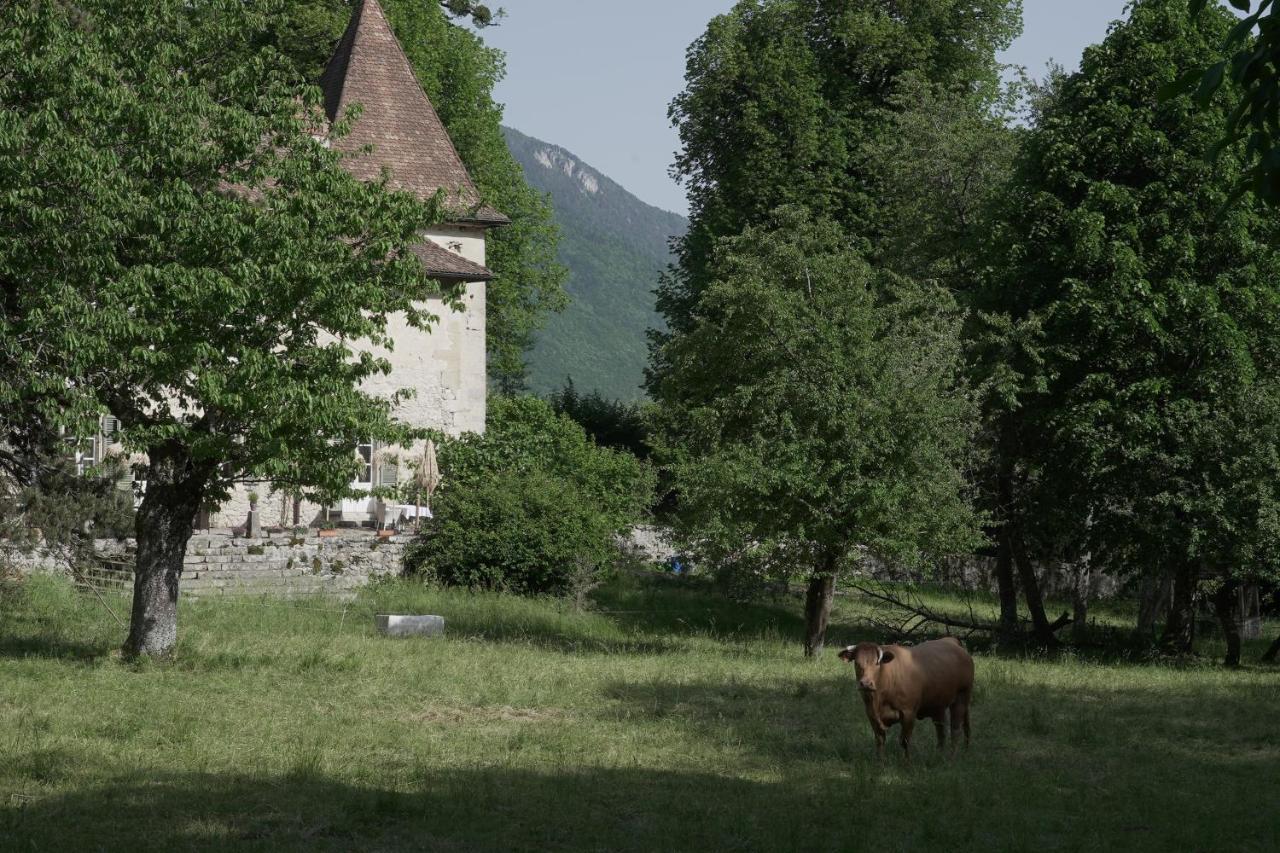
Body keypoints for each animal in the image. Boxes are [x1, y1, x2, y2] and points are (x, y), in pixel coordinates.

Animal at [839, 635, 967, 758]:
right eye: (857, 663)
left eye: (877, 663)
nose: (866, 684)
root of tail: (951, 641)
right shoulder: (871, 714)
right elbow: (880, 740)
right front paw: (880, 762)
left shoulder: (908, 713)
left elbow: (904, 741)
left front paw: (907, 763)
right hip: (938, 706)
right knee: (941, 731)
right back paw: (940, 754)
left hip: (961, 698)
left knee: (956, 730)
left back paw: (952, 757)